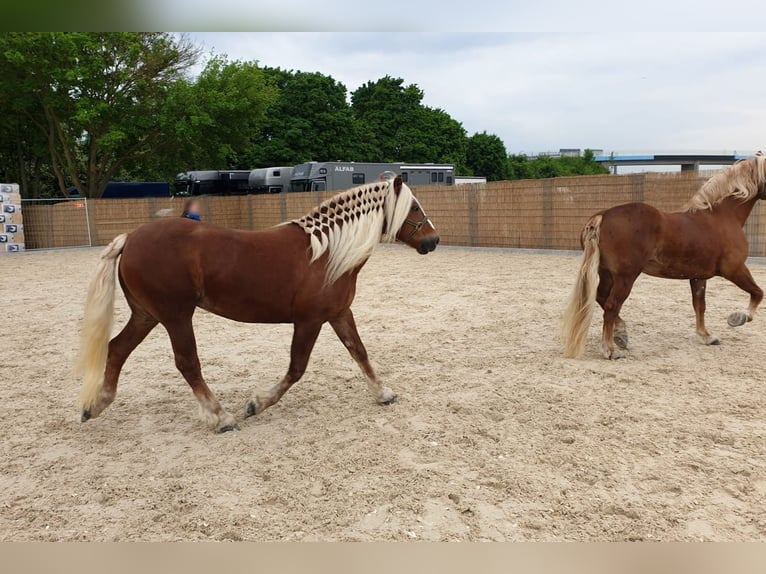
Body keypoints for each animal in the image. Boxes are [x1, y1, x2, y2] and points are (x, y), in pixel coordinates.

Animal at [564, 153, 766, 360]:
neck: (721, 217)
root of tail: (602, 216)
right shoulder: (734, 269)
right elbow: (758, 293)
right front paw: (738, 318)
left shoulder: (698, 277)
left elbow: (700, 305)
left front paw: (707, 337)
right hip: (626, 276)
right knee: (612, 305)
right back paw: (610, 349)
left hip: (606, 274)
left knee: (602, 298)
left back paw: (621, 334)